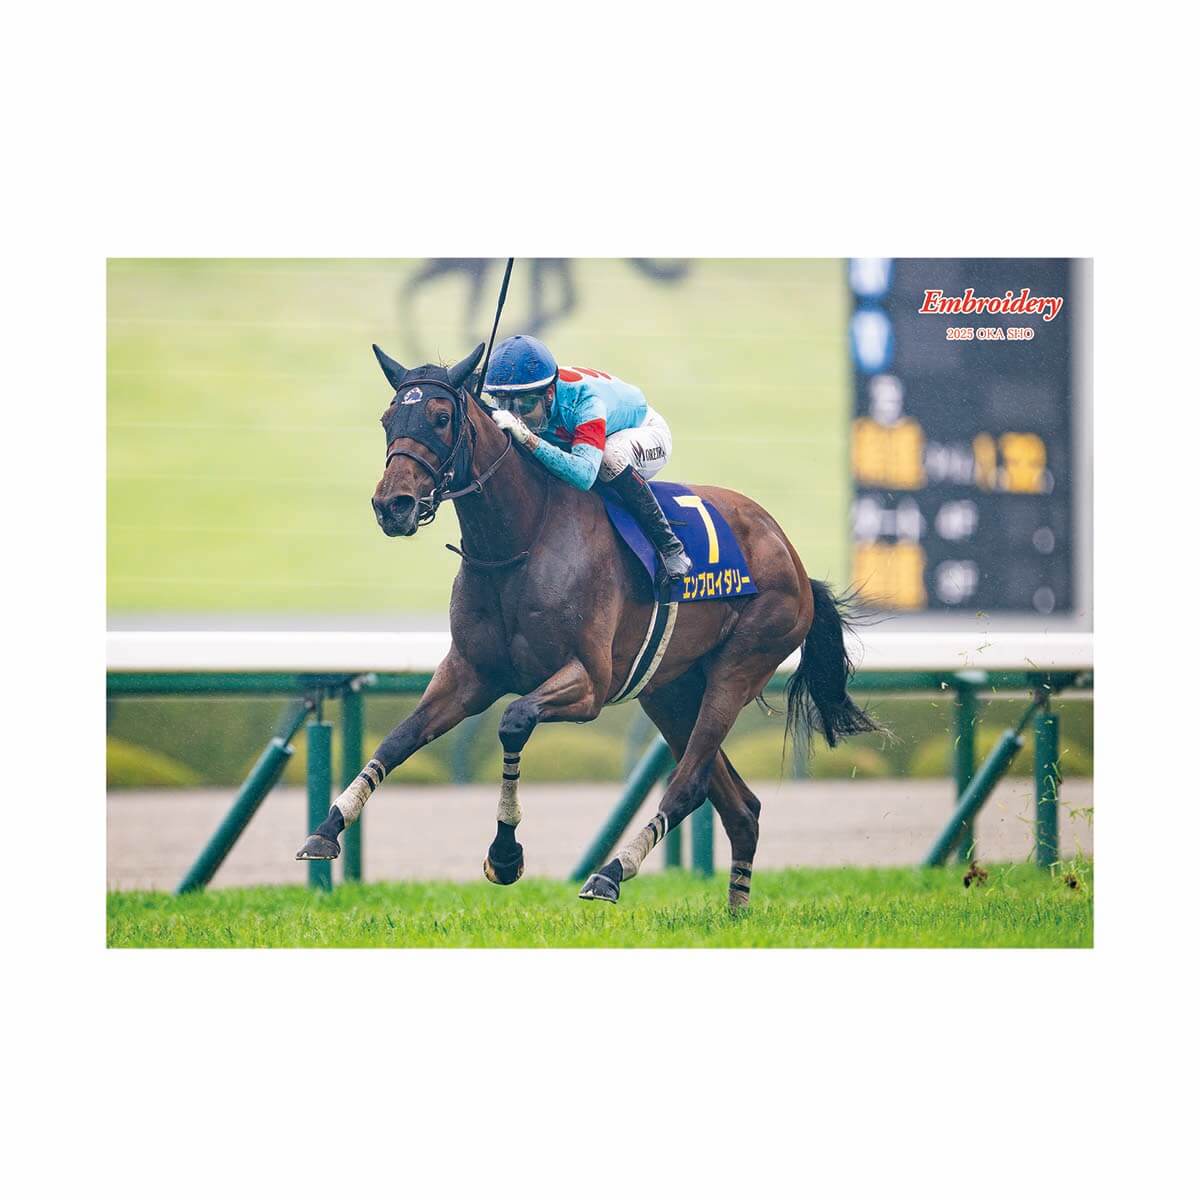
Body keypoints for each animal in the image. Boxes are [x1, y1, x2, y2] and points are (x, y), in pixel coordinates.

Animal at [296, 342, 879, 910]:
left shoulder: (589, 683)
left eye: (440, 418)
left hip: (742, 663)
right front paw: (326, 829)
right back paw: (734, 912)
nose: (391, 506)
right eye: (388, 418)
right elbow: (398, 739)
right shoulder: (468, 673)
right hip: (668, 690)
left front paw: (505, 856)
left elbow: (514, 720)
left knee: (691, 781)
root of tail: (790, 553)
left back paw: (610, 873)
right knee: (741, 806)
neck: (521, 540)